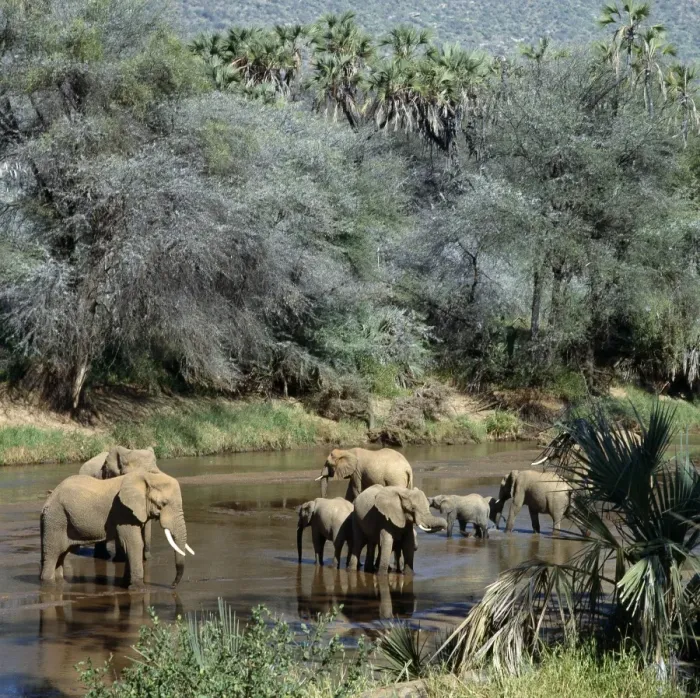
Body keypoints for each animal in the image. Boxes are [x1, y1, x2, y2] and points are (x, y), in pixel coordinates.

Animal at [40, 470, 194, 589]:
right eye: (163, 503)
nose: (173, 585)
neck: (147, 476)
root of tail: (49, 497)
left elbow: (129, 544)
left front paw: (125, 584)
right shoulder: (123, 511)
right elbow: (134, 543)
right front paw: (138, 588)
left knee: (61, 554)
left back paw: (61, 583)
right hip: (56, 520)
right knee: (53, 553)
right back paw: (49, 584)